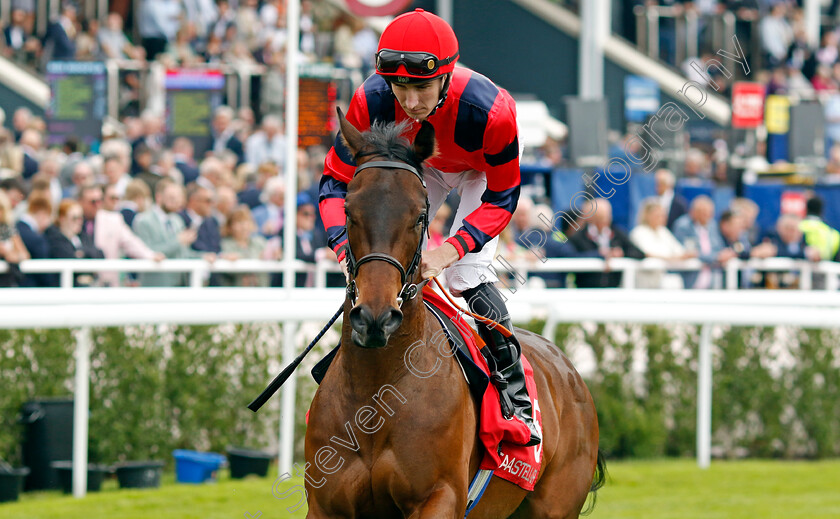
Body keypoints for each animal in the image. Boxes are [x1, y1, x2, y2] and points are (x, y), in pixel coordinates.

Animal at [304, 111, 604, 516]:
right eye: (349, 212)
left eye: (420, 217)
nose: (375, 318)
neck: (377, 391)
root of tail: (568, 369)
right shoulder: (325, 506)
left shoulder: (439, 496)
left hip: (556, 505)